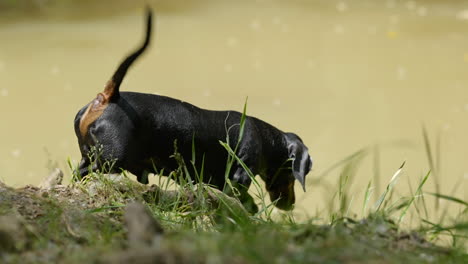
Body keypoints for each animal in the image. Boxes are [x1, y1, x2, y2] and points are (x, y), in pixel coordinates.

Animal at [73, 8, 312, 213]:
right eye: (291, 175)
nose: (290, 205)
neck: (266, 139)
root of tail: (108, 97)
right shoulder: (238, 177)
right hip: (109, 162)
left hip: (89, 156)